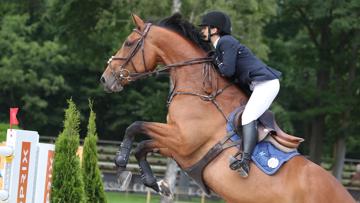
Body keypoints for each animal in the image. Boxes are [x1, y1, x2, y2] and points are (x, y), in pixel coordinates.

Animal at [100, 13, 356, 202]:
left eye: (128, 43)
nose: (105, 79)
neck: (200, 88)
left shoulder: (182, 140)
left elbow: (135, 127)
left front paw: (121, 167)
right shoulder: (179, 148)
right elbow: (142, 145)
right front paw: (156, 183)